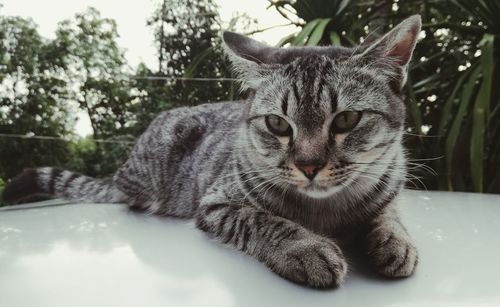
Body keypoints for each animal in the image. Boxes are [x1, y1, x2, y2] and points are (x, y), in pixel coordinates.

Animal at [3, 15, 422, 290]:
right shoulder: (218, 203)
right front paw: (305, 247)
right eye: (278, 124)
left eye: (347, 119)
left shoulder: (390, 182)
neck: (327, 211)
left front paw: (395, 241)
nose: (308, 165)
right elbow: (263, 221)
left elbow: (388, 213)